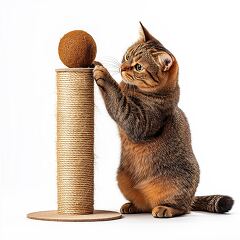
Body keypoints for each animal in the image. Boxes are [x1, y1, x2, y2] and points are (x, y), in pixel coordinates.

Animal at [93, 22, 233, 218]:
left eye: (138, 67)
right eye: (127, 56)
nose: (122, 68)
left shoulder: (138, 122)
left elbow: (117, 97)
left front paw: (104, 74)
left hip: (177, 186)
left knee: (184, 208)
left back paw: (166, 208)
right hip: (122, 178)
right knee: (144, 205)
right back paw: (132, 206)